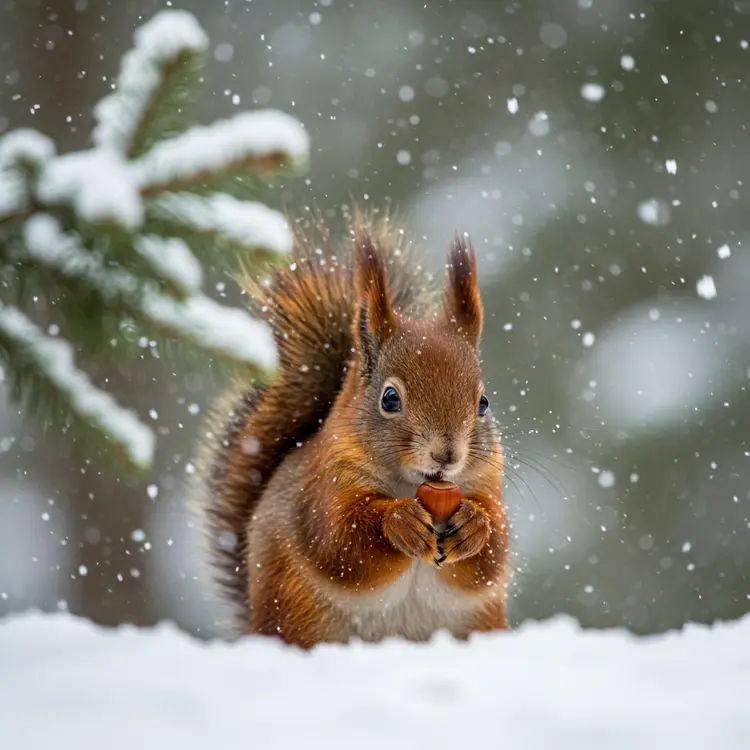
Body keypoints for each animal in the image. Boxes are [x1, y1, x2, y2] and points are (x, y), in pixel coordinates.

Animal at [192, 215, 509, 649]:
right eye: (390, 399)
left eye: (484, 403)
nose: (447, 455)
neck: (412, 485)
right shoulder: (321, 488)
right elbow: (341, 544)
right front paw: (399, 522)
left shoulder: (489, 485)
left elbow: (492, 558)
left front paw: (474, 526)